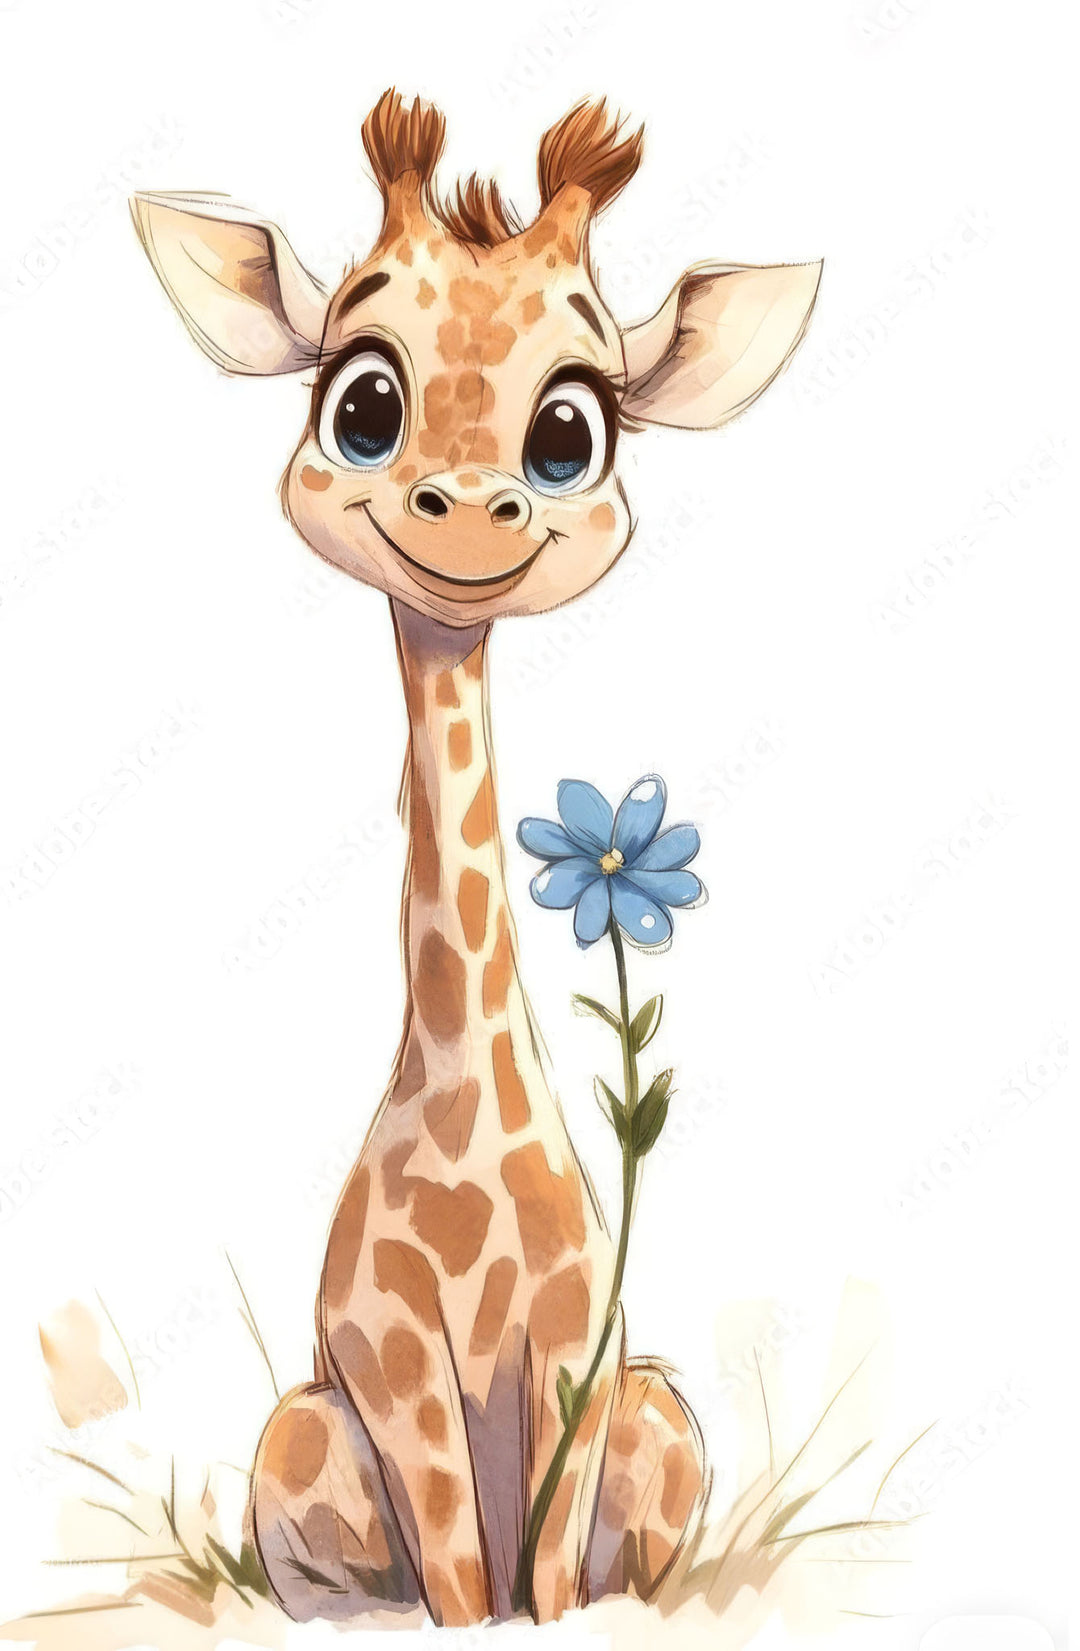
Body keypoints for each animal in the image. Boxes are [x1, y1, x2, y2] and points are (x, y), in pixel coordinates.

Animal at [131, 90, 820, 1626]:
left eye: (571, 428)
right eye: (362, 404)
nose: (465, 507)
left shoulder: (577, 1355)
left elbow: (551, 1580)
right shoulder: (396, 1376)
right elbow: (457, 1577)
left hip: (661, 1414)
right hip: (302, 1435)